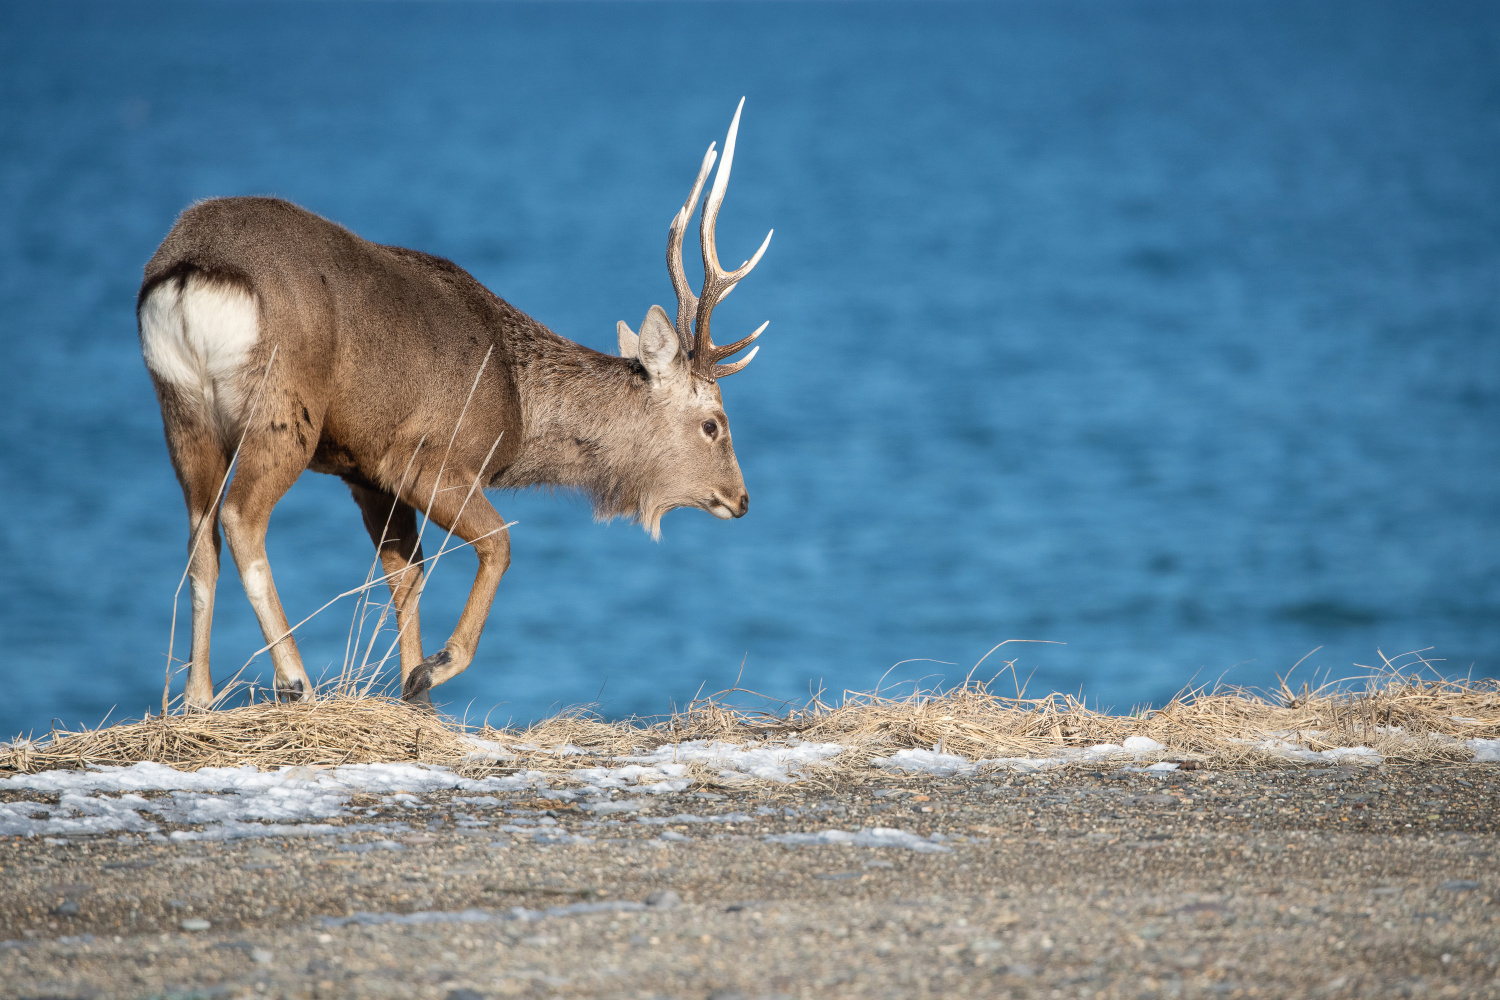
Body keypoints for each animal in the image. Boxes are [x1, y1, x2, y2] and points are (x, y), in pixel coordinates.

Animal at [138, 99, 774, 710]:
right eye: (714, 424)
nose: (742, 500)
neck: (517, 403)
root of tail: (187, 271)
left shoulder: (364, 471)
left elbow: (406, 574)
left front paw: (413, 696)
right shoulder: (426, 456)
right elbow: (499, 545)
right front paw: (434, 668)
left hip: (181, 412)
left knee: (199, 538)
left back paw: (195, 699)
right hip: (283, 409)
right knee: (240, 517)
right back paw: (294, 682)